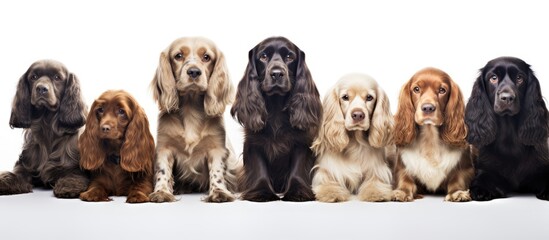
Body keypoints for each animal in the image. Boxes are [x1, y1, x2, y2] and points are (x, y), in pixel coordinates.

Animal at [149, 37, 237, 202]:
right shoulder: (164, 147)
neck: (190, 108)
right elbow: (163, 171)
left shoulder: (216, 148)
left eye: (207, 57)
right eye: (178, 56)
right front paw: (162, 191)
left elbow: (217, 171)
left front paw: (219, 192)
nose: (194, 72)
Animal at [230, 36, 324, 202]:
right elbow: (259, 167)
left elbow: (297, 168)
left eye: (290, 57)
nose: (277, 73)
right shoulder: (253, 141)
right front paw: (261, 192)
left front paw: (297, 191)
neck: (276, 108)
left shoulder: (301, 142)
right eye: (263, 56)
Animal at [310, 73, 392, 202]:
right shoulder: (326, 170)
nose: (358, 115)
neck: (355, 142)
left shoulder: (378, 170)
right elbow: (327, 181)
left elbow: (375, 180)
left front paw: (376, 193)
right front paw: (331, 192)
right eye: (345, 97)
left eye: (369, 97)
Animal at [392, 67, 474, 202]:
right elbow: (405, 180)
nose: (428, 108)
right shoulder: (402, 166)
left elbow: (457, 179)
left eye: (442, 90)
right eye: (416, 89)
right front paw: (401, 192)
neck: (429, 137)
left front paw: (457, 192)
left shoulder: (465, 167)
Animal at [462, 56, 548, 201]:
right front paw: (481, 190)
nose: (507, 98)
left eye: (519, 78)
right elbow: (482, 179)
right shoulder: (486, 169)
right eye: (493, 78)